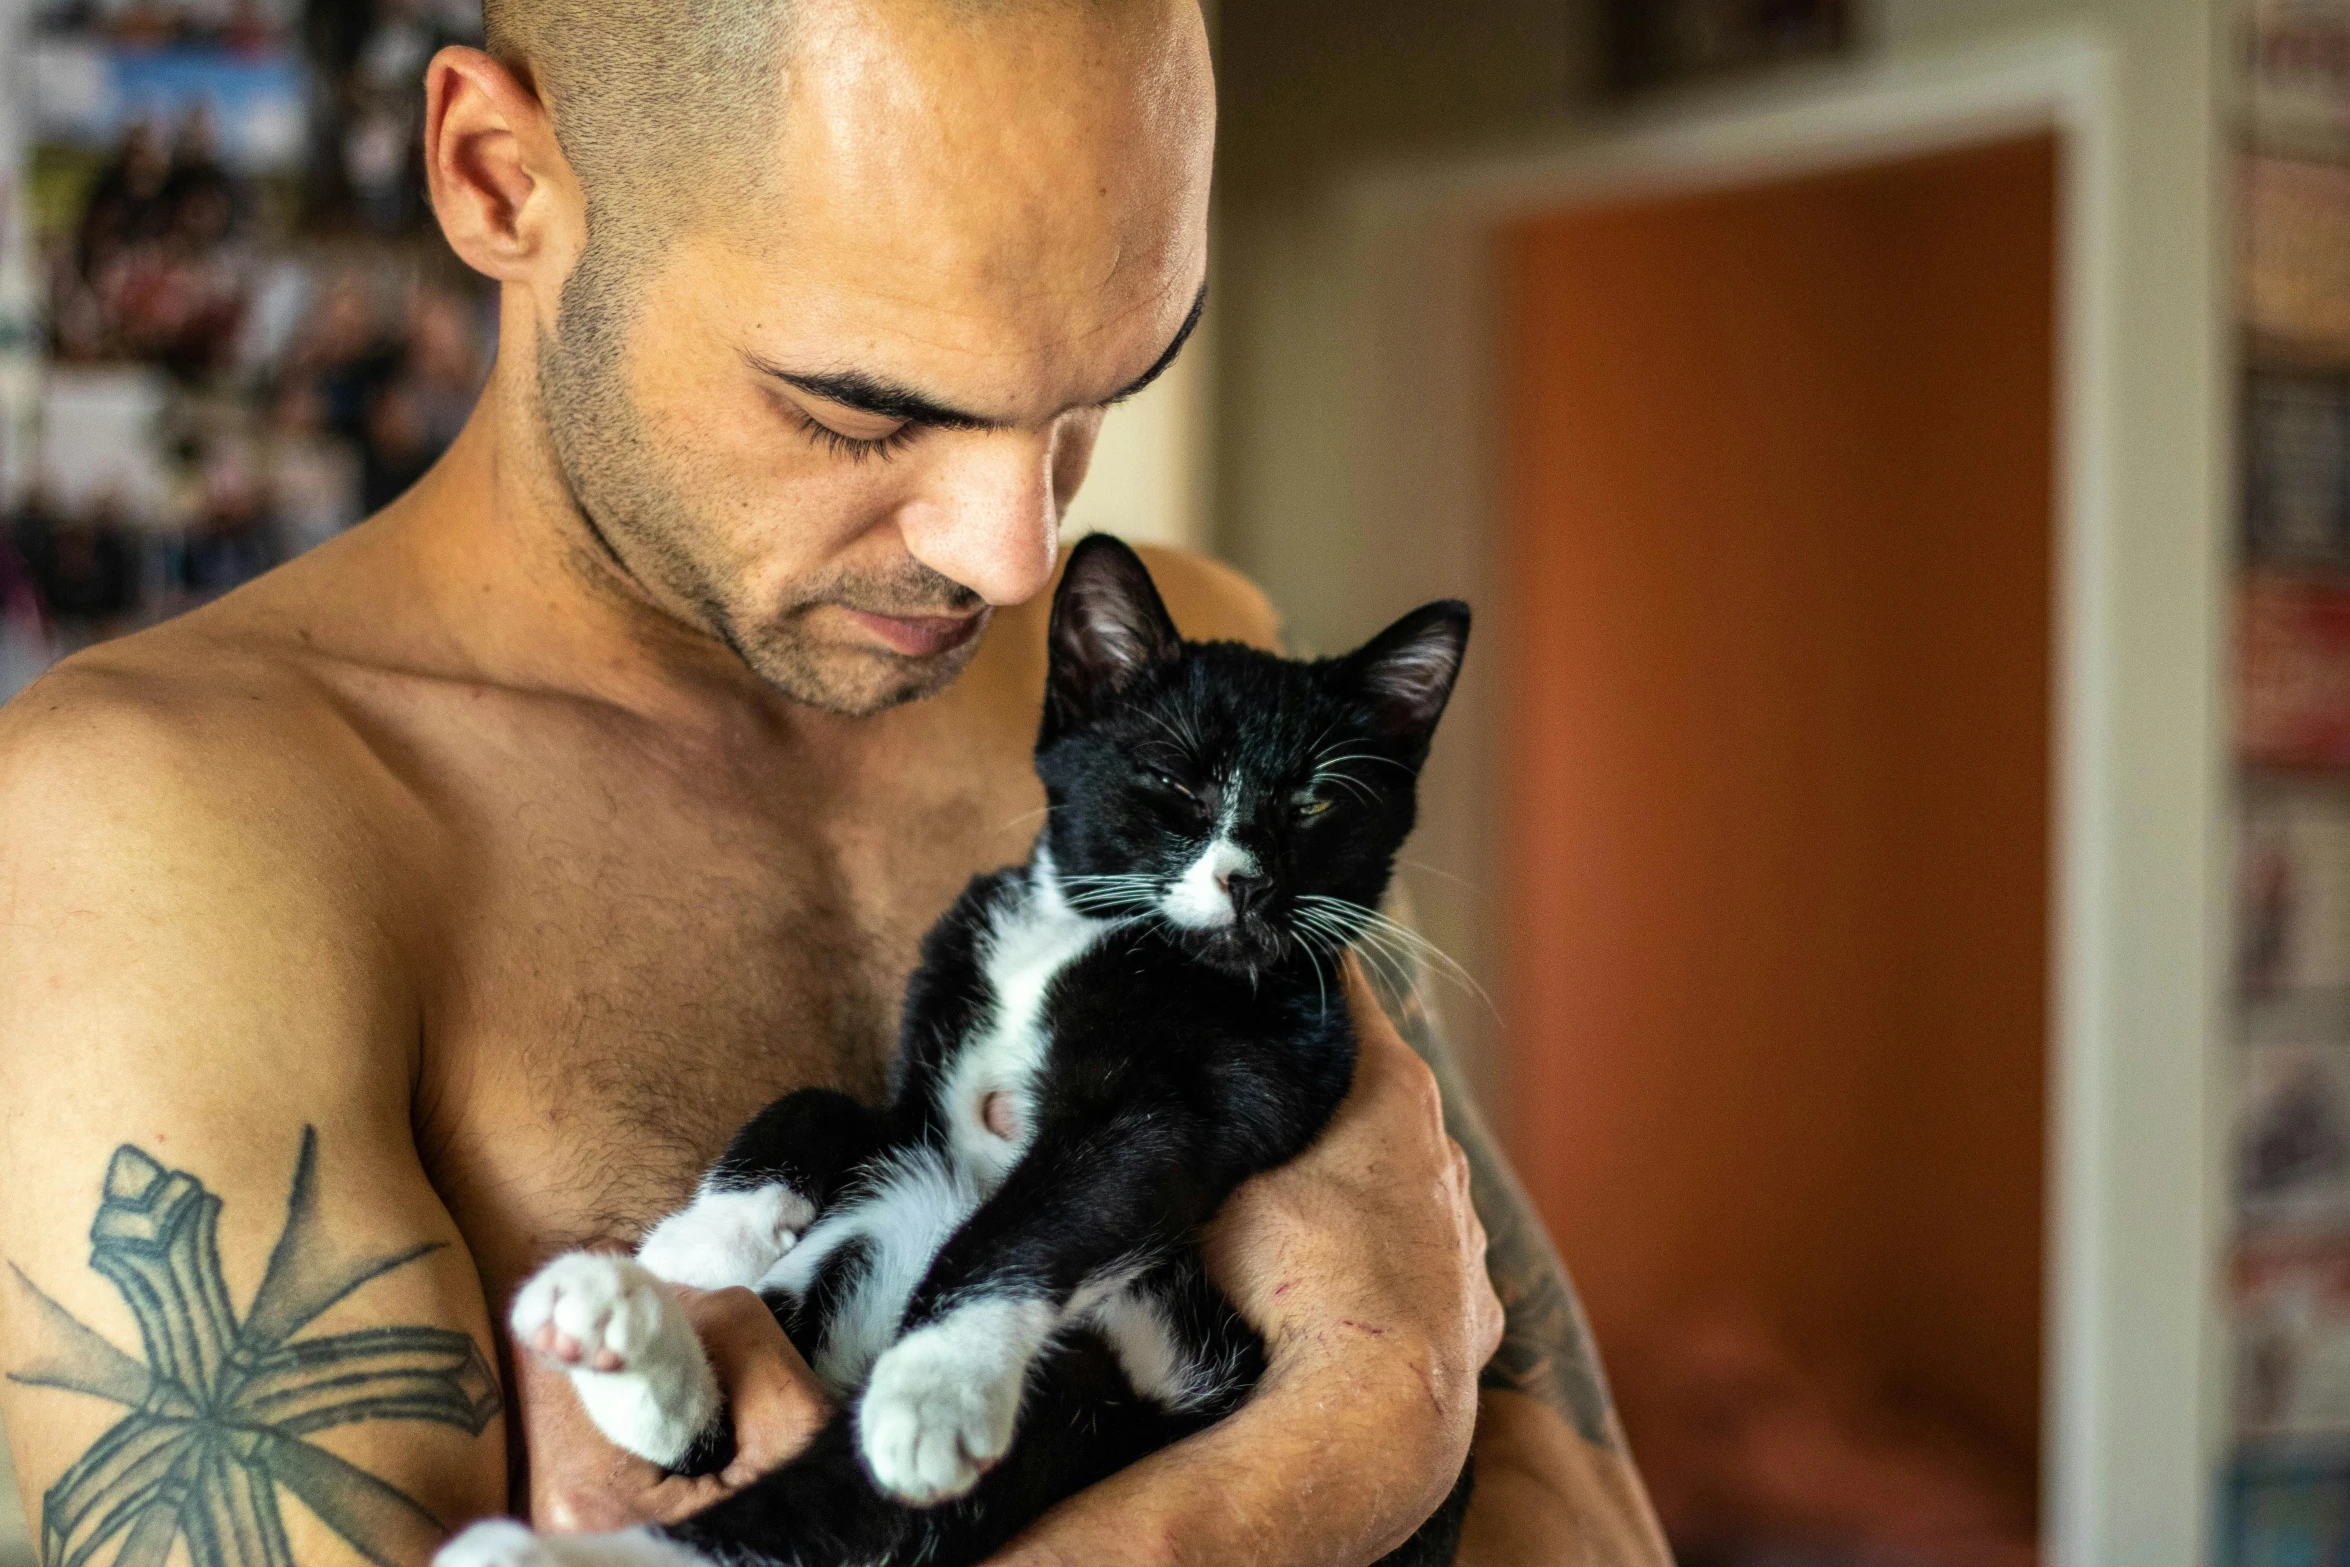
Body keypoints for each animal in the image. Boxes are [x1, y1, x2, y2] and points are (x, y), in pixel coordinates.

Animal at [432, 535, 1475, 1567]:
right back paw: (613, 1323)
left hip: (1107, 1378)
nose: (1250, 883)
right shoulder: (925, 1076)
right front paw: (710, 1233)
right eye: (1175, 781)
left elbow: (1043, 1210)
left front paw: (935, 1382)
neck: (1081, 934)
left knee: (838, 1513)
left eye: (1318, 803)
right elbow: (827, 1102)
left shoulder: (1216, 1082)